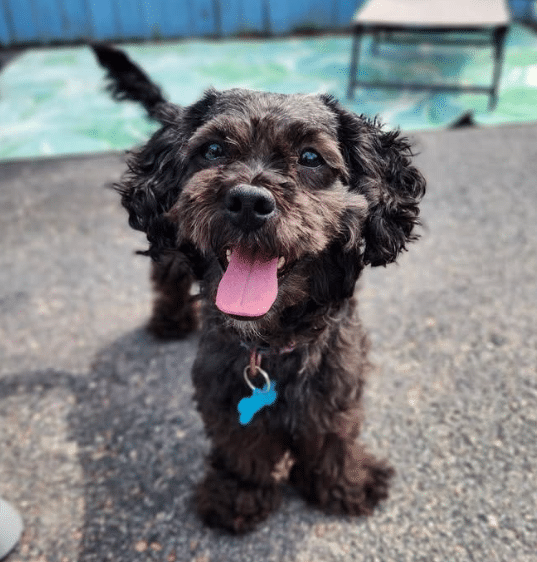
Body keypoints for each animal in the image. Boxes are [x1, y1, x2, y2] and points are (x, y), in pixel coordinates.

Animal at [93, 43, 428, 528]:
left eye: (310, 158)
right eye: (213, 149)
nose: (249, 201)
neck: (272, 342)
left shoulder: (338, 372)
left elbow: (333, 432)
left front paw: (344, 483)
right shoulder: (221, 383)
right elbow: (241, 446)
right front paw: (239, 495)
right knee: (167, 279)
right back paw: (170, 321)